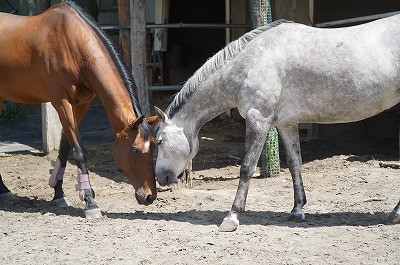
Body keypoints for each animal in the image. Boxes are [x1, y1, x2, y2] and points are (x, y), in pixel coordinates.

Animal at [0, 1, 159, 218]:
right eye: (135, 151)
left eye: (154, 147)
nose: (149, 196)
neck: (72, 43)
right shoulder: (62, 103)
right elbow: (79, 151)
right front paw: (90, 202)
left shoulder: (81, 103)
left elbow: (65, 148)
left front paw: (59, 194)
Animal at [155, 16, 400, 230]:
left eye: (158, 141)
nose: (160, 177)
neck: (250, 62)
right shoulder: (286, 123)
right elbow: (294, 163)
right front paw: (297, 210)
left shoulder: (258, 120)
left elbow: (247, 167)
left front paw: (232, 217)